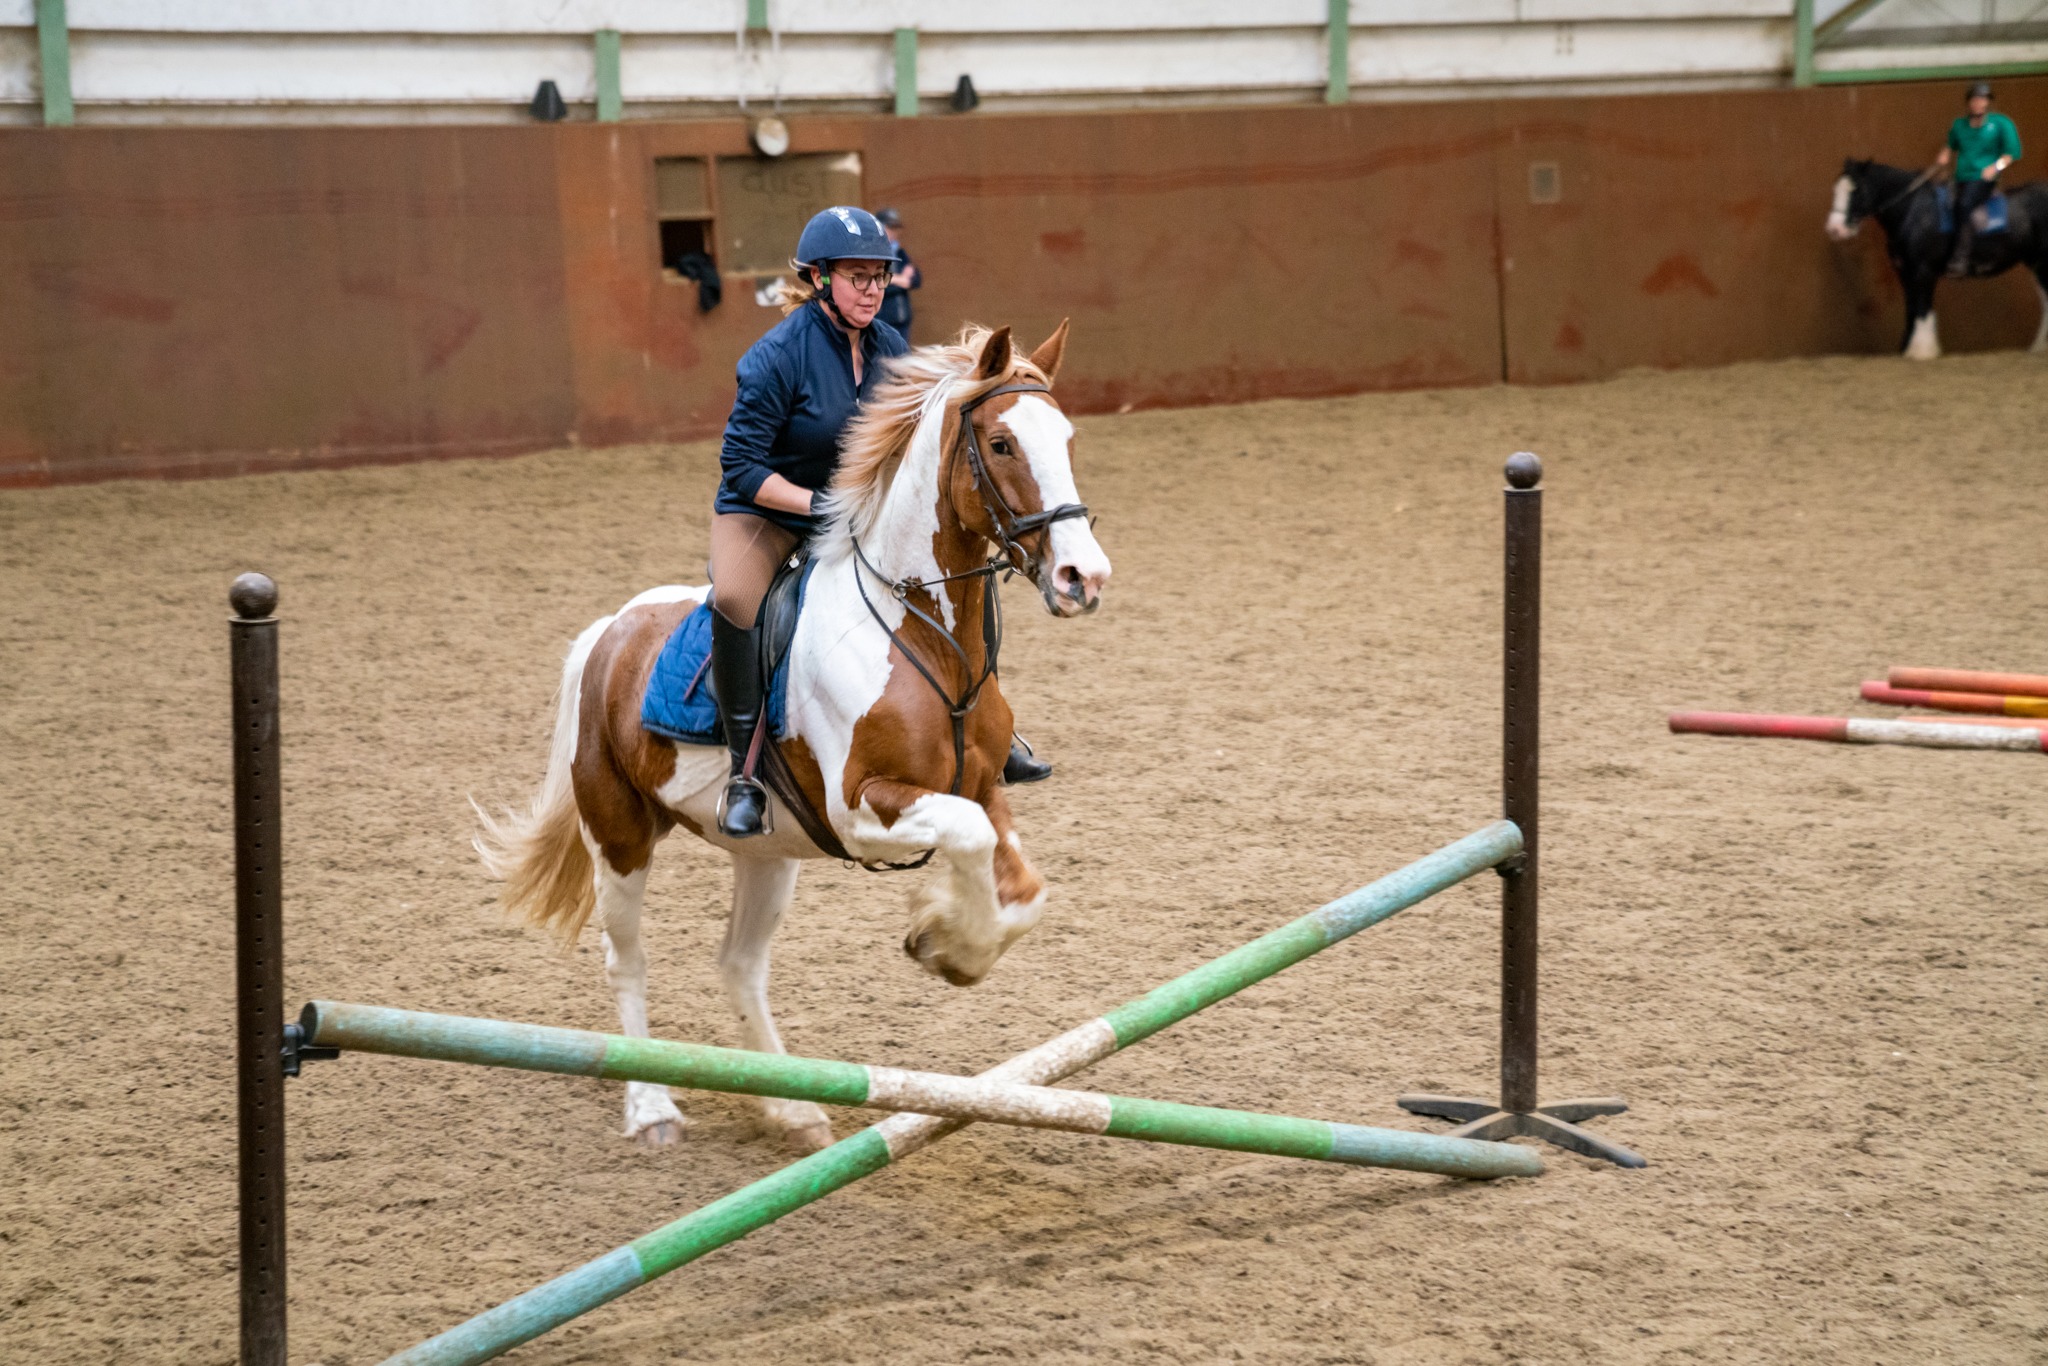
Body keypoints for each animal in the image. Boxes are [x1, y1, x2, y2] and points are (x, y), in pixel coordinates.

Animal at [475, 321, 1112, 1154]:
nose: (1082, 578)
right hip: (619, 833)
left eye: (1066, 437)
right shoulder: (859, 808)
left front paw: (949, 943)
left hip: (768, 850)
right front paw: (945, 940)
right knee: (627, 959)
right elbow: (968, 836)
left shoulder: (979, 787)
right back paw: (651, 1107)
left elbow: (1021, 888)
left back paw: (791, 1106)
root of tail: (610, 631)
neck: (921, 632)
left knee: (739, 963)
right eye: (1002, 443)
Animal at [1825, 158, 2048, 360]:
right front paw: (1907, 348)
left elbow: (1922, 308)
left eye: (1857, 191)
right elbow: (1911, 308)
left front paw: (1923, 351)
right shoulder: (1906, 272)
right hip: (2036, 263)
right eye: (1836, 190)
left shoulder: (1923, 270)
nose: (1835, 229)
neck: (1912, 212)